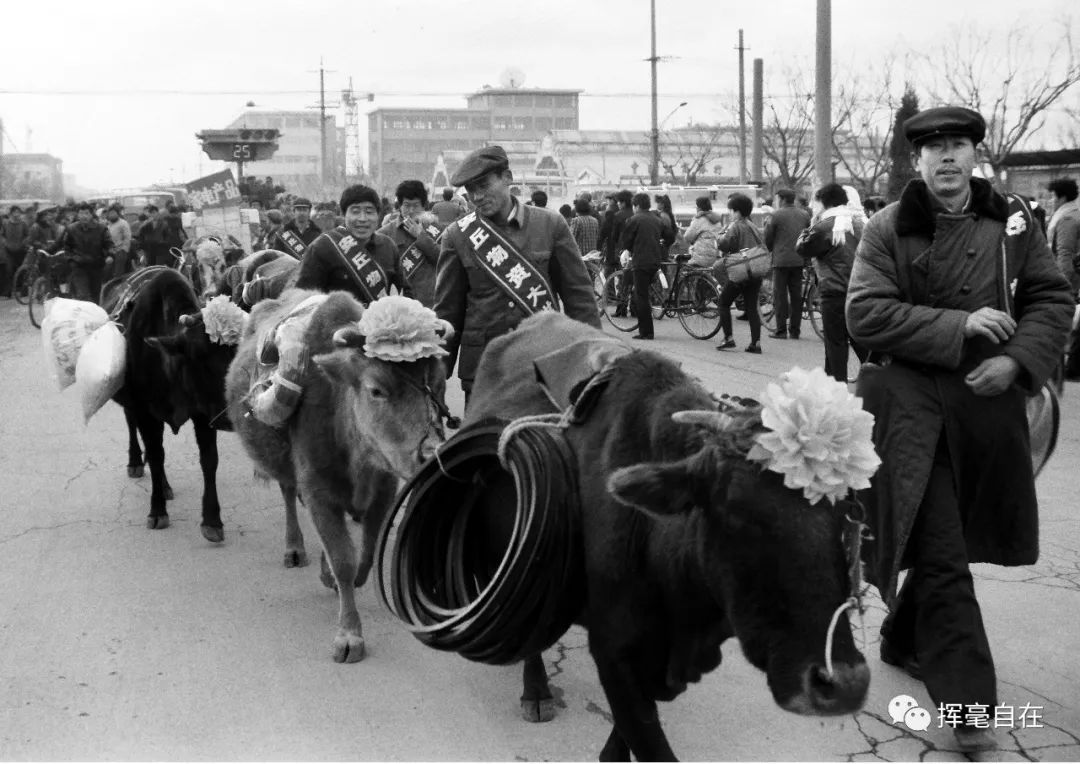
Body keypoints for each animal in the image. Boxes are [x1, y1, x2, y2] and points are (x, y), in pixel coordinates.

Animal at [101, 269, 238, 544]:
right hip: (131, 403)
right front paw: (157, 511)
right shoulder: (145, 412)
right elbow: (155, 456)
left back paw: (164, 486)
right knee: (133, 426)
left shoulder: (202, 414)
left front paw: (212, 521)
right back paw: (136, 463)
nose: (229, 417)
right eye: (202, 360)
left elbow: (209, 460)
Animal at [225, 289, 449, 661]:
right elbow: (344, 559)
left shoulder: (384, 489)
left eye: (439, 383)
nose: (430, 453)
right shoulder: (318, 493)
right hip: (285, 471)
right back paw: (294, 548)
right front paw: (349, 635)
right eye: (376, 390)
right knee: (289, 497)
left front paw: (333, 575)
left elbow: (366, 553)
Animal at [464, 313, 868, 760]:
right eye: (734, 507)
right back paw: (536, 692)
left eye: (847, 510)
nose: (843, 685)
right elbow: (647, 738)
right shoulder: (614, 651)